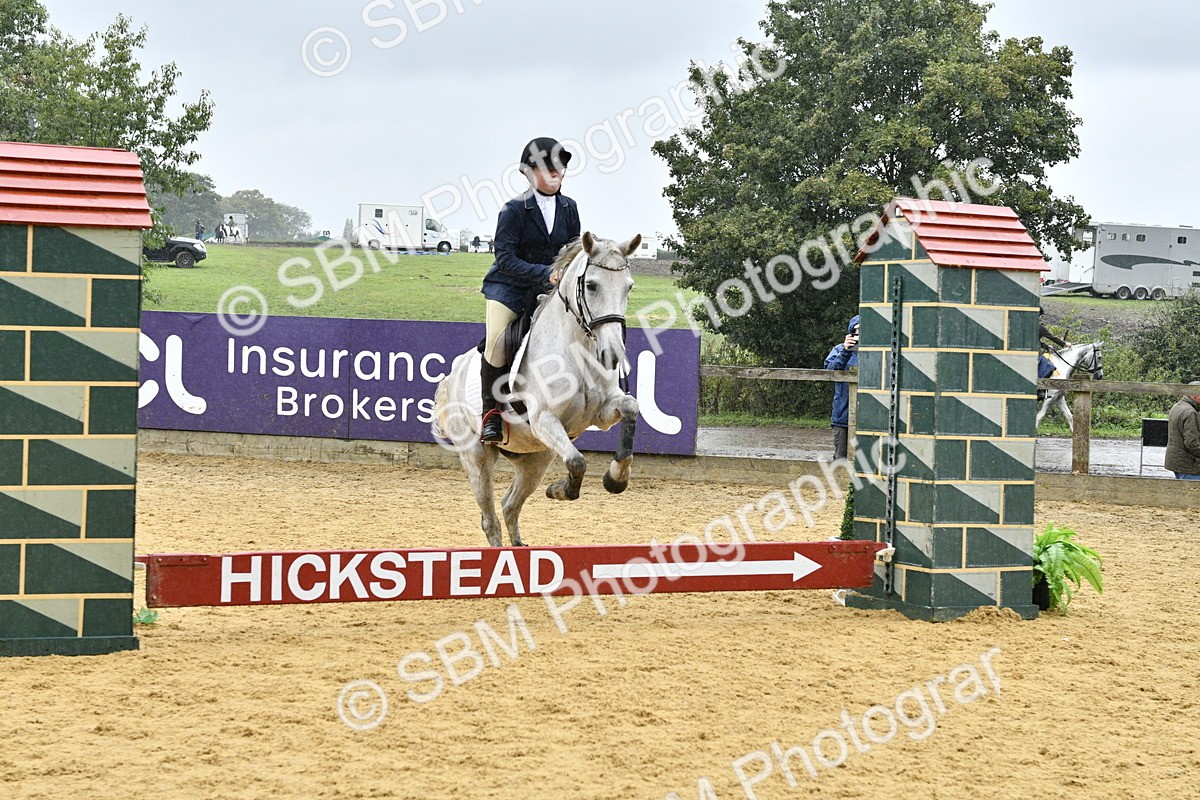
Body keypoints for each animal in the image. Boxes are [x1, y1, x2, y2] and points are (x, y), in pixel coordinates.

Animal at [432, 232, 642, 547]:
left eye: (628, 287)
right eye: (591, 285)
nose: (613, 355)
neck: (576, 350)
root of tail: (452, 376)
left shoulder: (604, 411)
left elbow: (631, 407)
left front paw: (616, 478)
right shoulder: (544, 419)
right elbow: (577, 462)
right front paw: (562, 490)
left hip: (535, 458)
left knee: (510, 505)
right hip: (477, 456)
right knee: (490, 520)